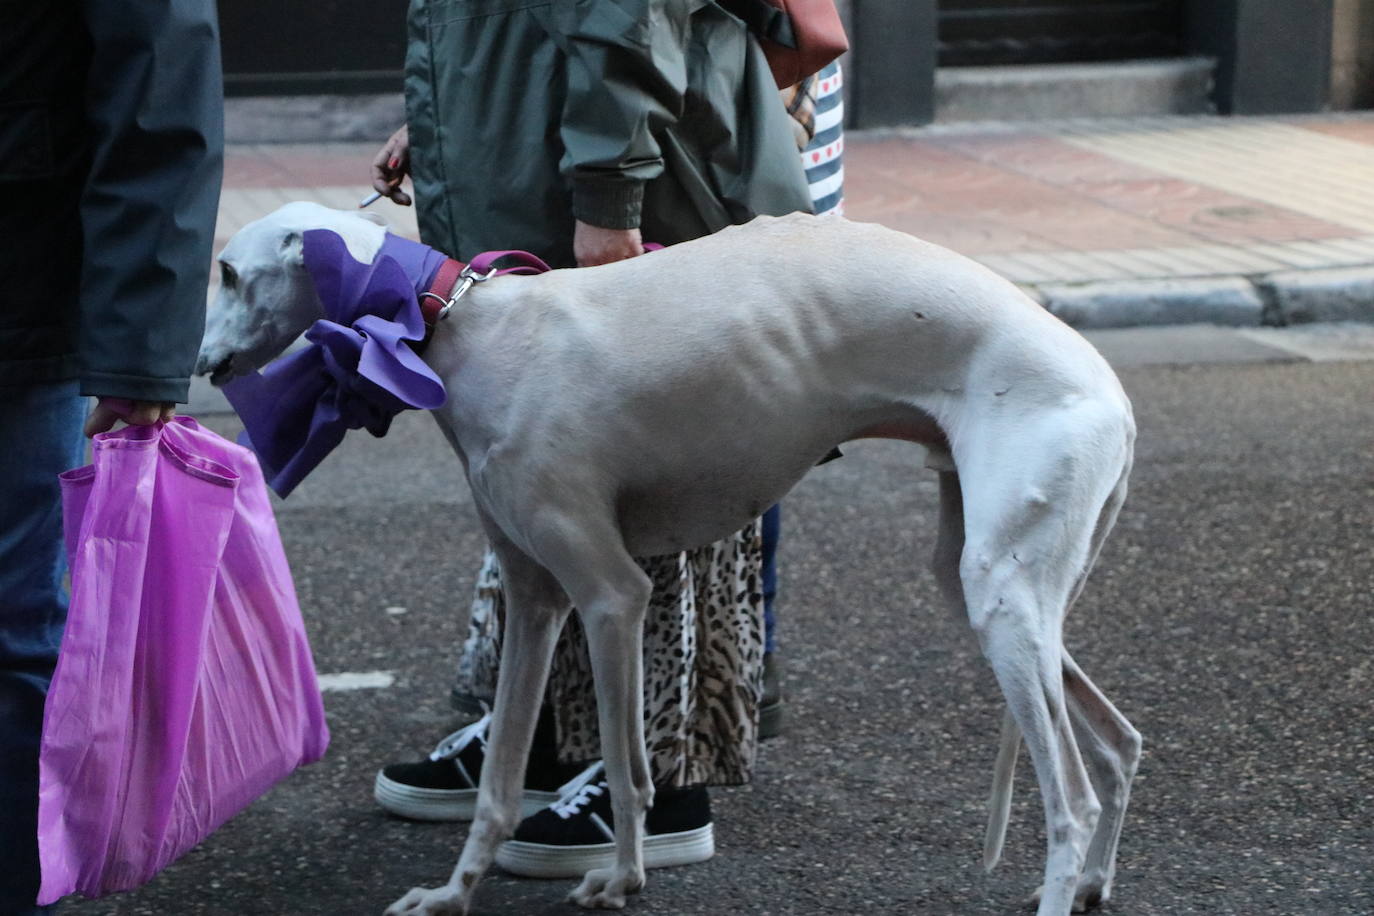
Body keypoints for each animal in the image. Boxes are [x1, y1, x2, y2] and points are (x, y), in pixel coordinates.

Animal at [193, 204, 1137, 916]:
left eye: (231, 273)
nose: (202, 364)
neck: (459, 323)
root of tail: (1115, 396)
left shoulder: (611, 592)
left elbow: (625, 761)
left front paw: (619, 877)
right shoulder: (535, 598)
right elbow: (501, 778)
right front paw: (454, 893)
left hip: (1004, 596)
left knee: (1072, 800)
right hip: (986, 586)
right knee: (1120, 743)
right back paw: (1094, 882)